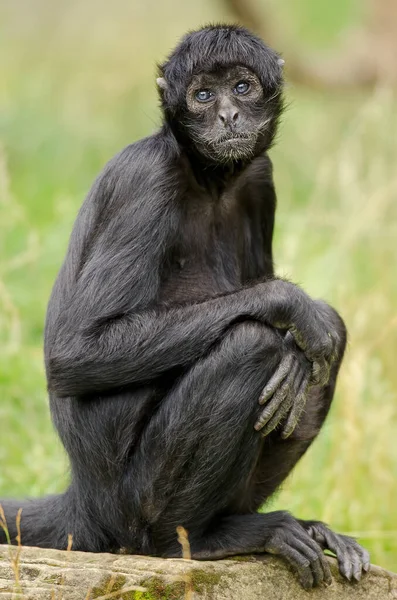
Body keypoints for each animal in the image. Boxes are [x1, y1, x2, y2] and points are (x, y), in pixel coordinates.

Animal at [0, 24, 368, 592]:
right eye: (202, 96)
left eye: (241, 88)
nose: (228, 115)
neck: (208, 179)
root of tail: (85, 499)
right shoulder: (147, 178)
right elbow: (74, 352)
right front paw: (294, 306)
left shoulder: (259, 177)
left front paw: (300, 341)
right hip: (132, 502)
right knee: (251, 341)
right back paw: (192, 540)